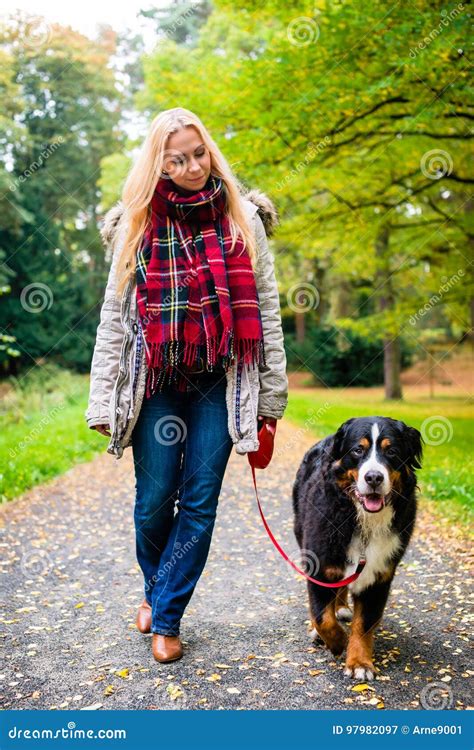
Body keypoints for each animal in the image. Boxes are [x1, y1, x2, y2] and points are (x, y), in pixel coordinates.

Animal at [292, 418, 422, 680]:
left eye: (391, 451)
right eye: (357, 450)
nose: (374, 477)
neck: (364, 522)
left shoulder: (379, 577)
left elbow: (364, 624)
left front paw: (360, 662)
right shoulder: (320, 565)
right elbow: (322, 618)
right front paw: (338, 642)